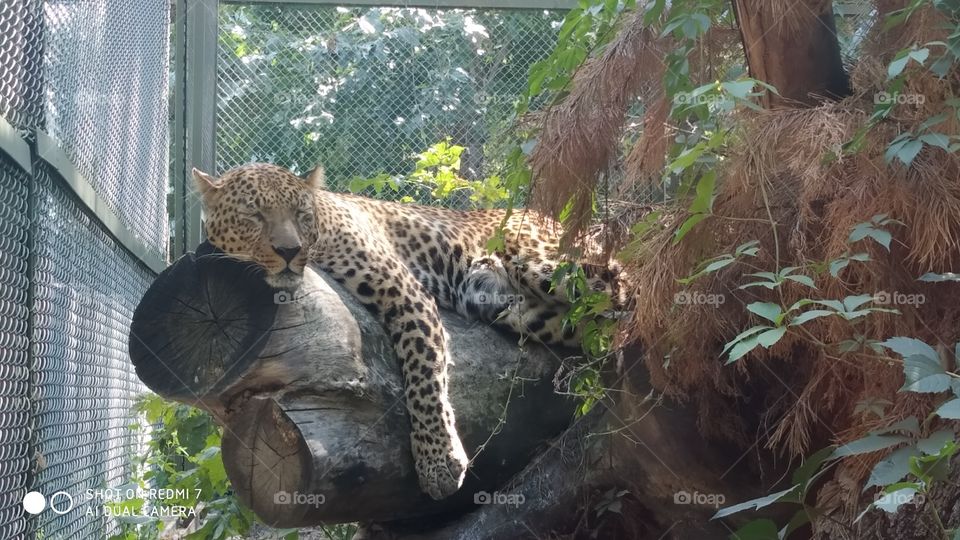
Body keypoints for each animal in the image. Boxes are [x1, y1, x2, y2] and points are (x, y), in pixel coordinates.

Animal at [193, 162, 627, 500]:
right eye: (254, 215)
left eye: (301, 213)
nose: (289, 251)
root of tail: (546, 215)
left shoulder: (403, 289)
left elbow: (424, 372)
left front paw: (438, 463)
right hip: (522, 310)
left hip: (547, 263)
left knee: (626, 284)